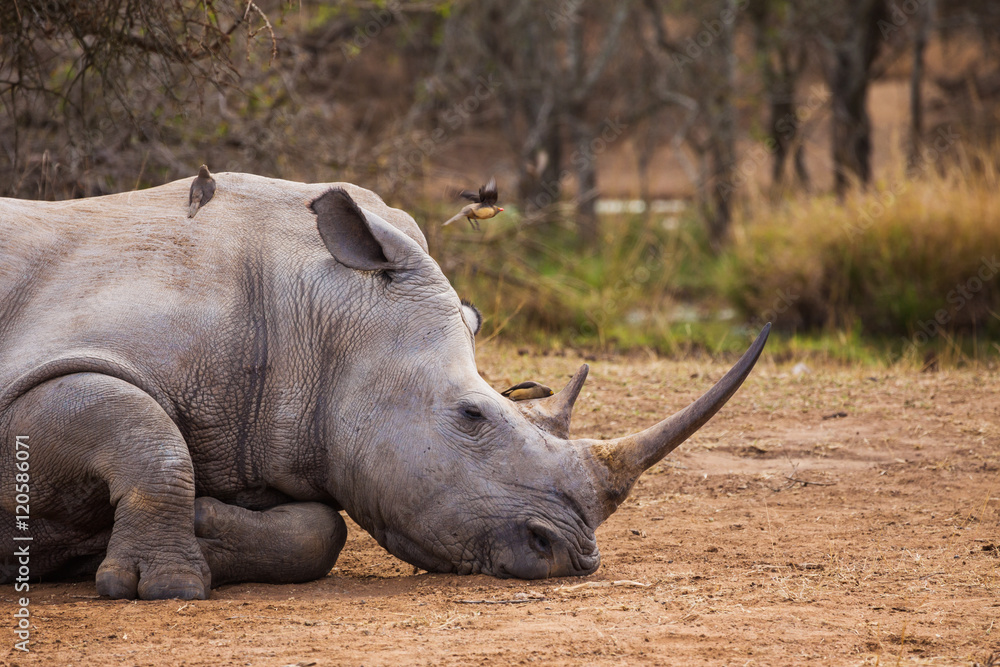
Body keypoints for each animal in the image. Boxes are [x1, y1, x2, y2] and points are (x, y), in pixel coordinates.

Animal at [0, 173, 769, 600]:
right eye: (471, 415)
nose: (569, 557)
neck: (312, 311)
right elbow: (142, 429)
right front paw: (167, 587)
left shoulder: (264, 431)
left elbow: (322, 529)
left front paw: (197, 529)